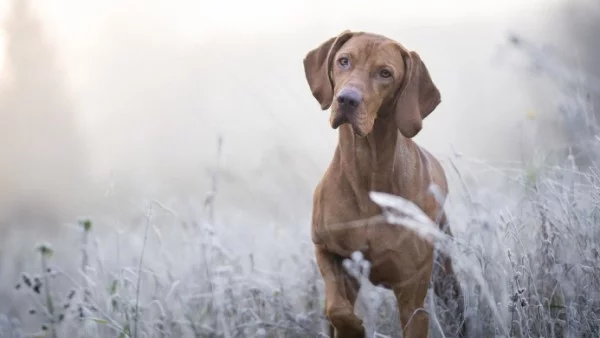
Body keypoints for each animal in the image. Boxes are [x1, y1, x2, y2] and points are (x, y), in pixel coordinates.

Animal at [302, 30, 466, 336]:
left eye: (385, 73)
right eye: (344, 61)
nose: (346, 100)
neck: (368, 171)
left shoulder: (412, 296)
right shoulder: (327, 249)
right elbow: (336, 308)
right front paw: (353, 328)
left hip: (445, 275)